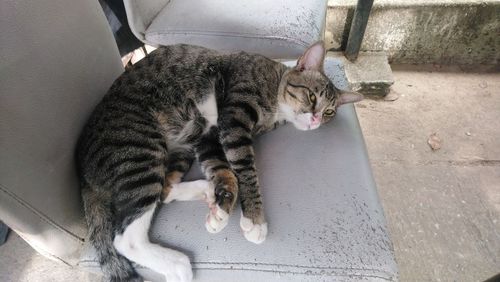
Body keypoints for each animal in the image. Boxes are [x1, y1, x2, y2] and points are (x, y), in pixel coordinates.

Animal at [75, 41, 364, 282]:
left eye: (329, 112)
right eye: (312, 97)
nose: (315, 120)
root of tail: (82, 173)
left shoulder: (208, 135)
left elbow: (224, 170)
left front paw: (223, 205)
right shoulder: (235, 118)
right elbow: (245, 170)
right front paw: (255, 219)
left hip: (179, 148)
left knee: (165, 190)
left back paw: (206, 191)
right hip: (141, 150)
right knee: (126, 237)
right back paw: (176, 264)